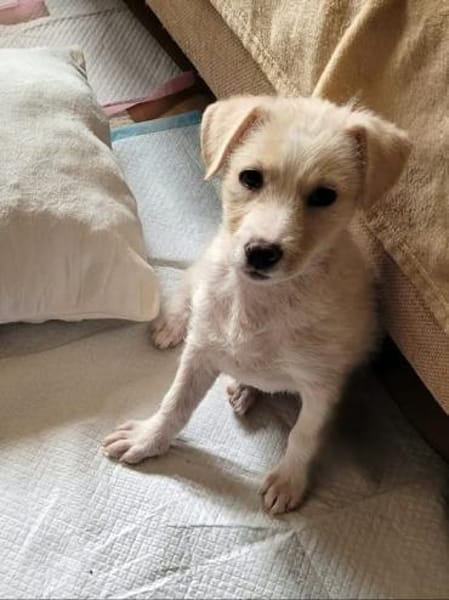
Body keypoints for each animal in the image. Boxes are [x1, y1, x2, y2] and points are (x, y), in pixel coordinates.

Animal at [103, 95, 410, 514]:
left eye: (324, 196)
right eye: (250, 177)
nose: (261, 252)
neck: (260, 300)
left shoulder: (321, 385)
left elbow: (303, 435)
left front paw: (289, 480)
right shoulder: (200, 351)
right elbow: (175, 403)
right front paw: (148, 438)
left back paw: (245, 387)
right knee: (190, 279)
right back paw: (173, 324)